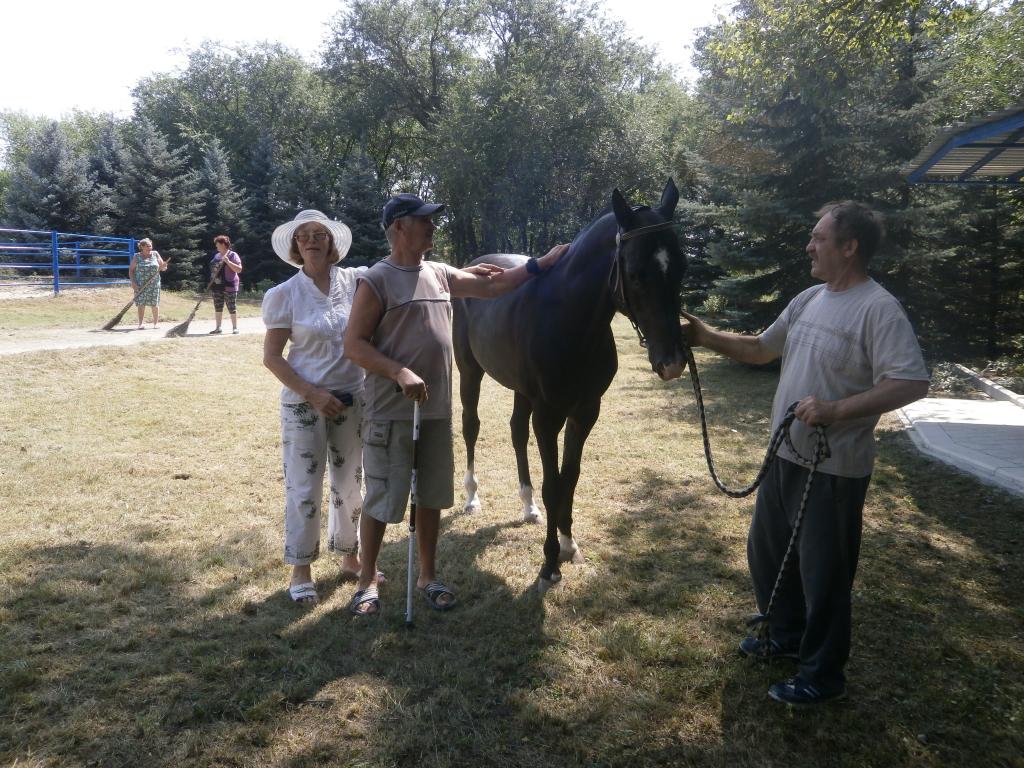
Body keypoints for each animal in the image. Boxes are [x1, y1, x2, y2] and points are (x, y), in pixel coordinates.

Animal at [450, 180, 684, 589]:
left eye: (682, 267)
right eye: (636, 273)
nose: (671, 362)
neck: (569, 320)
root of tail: (471, 268)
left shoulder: (585, 412)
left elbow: (569, 479)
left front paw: (568, 544)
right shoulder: (549, 416)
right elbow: (553, 484)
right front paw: (548, 564)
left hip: (521, 390)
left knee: (515, 431)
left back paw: (528, 507)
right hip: (469, 373)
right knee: (470, 427)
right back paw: (471, 498)